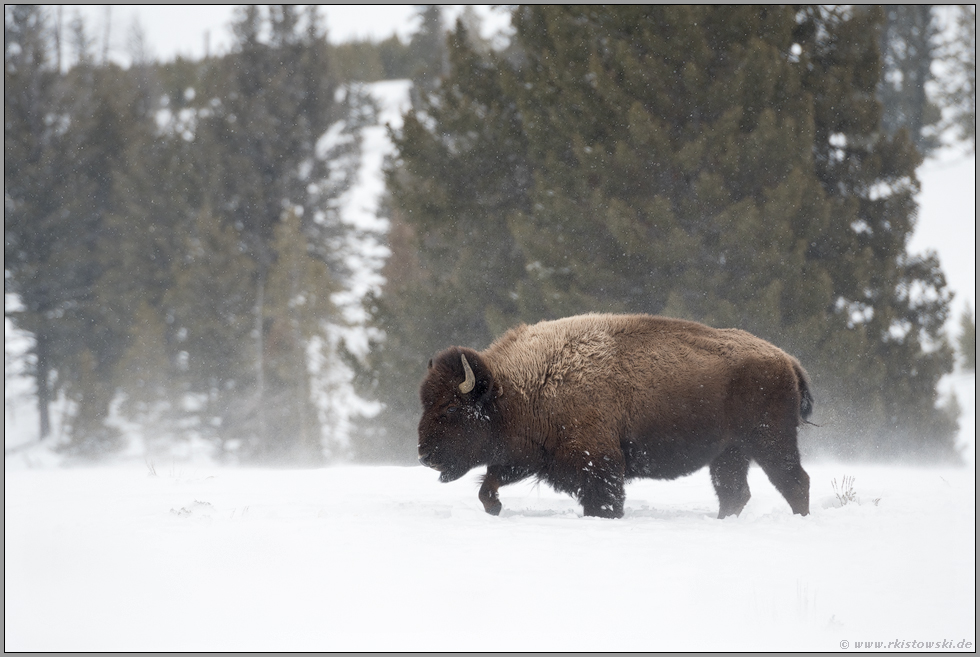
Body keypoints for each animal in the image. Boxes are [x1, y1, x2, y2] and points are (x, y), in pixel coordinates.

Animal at [416, 312, 812, 516]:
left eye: (451, 407)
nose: (424, 455)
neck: (519, 387)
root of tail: (786, 359)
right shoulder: (528, 457)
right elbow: (489, 484)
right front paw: (495, 508)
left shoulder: (599, 464)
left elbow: (604, 501)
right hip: (730, 452)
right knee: (734, 492)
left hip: (770, 441)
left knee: (794, 481)